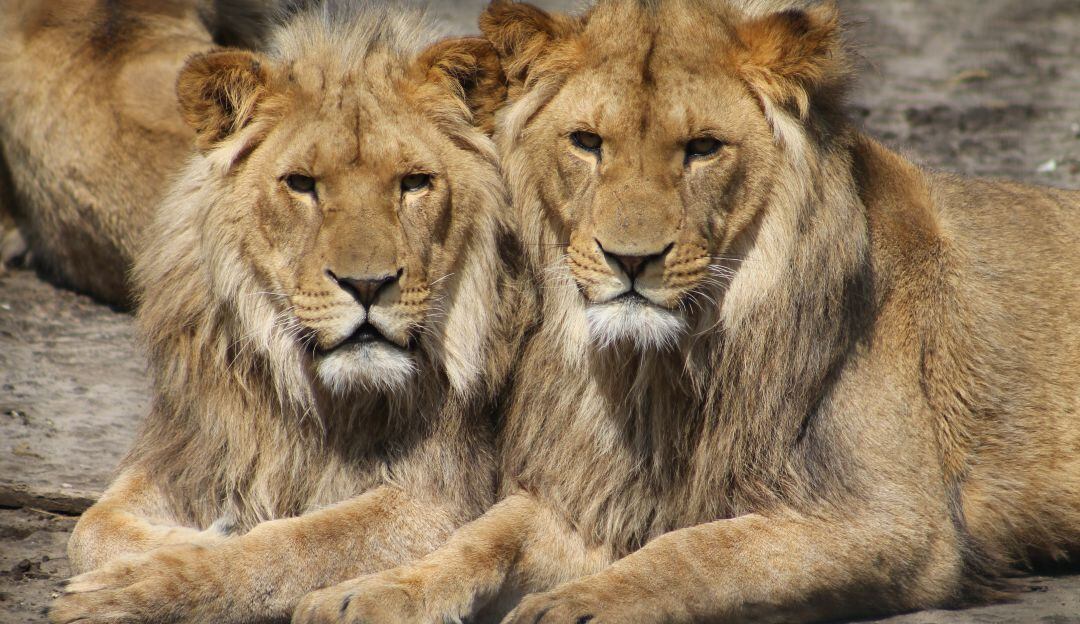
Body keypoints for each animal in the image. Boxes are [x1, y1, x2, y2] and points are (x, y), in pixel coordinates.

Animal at [49, 5, 523, 624]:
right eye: (301, 184)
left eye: (415, 183)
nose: (367, 284)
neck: (316, 397)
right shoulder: (200, 444)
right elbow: (90, 526)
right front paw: (189, 539)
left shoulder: (443, 495)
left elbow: (302, 541)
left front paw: (144, 583)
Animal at [292, 1, 1080, 623]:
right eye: (587, 143)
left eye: (703, 149)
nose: (630, 261)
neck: (661, 371)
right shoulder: (595, 490)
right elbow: (488, 534)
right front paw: (373, 590)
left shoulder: (897, 521)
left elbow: (704, 550)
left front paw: (578, 605)